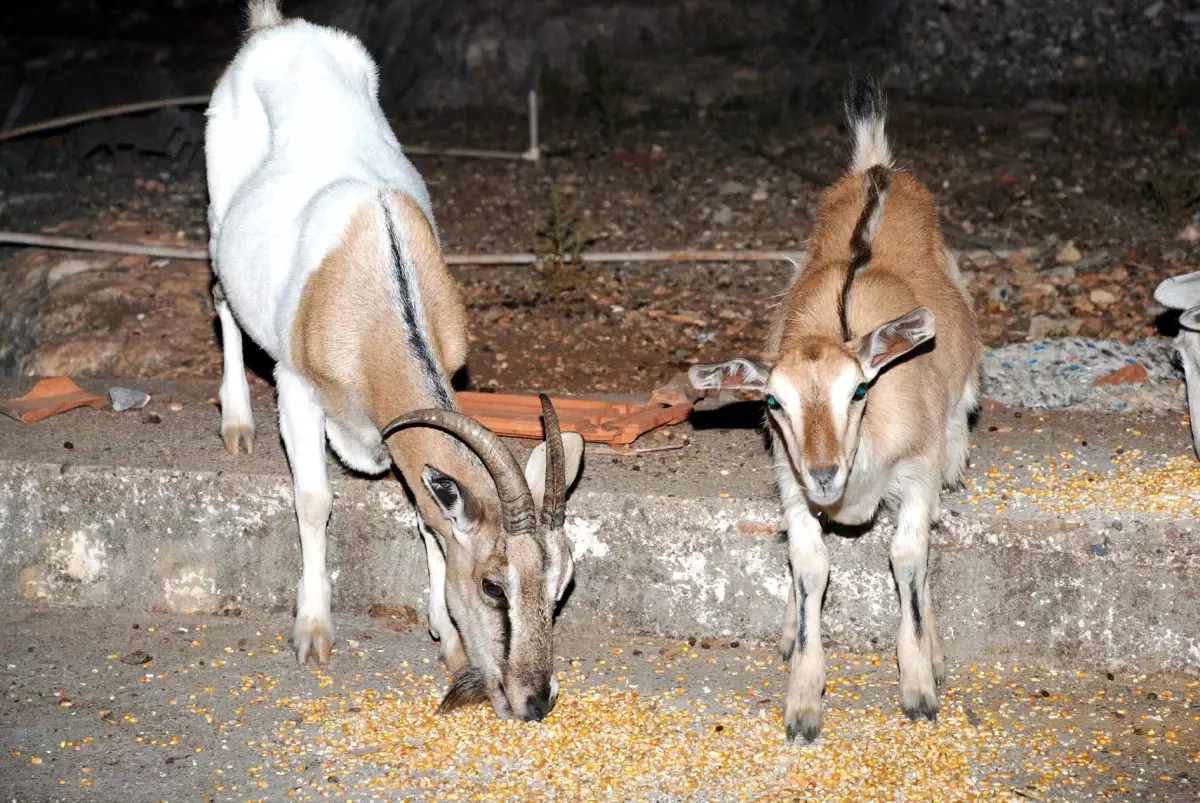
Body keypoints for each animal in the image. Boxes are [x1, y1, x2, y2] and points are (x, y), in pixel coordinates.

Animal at [204, 0, 583, 720]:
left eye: (561, 584)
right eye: (494, 586)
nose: (534, 699)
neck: (377, 285)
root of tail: (277, 28)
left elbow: (430, 519)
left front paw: (449, 642)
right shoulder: (298, 389)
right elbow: (314, 499)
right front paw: (313, 630)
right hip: (215, 214)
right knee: (219, 294)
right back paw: (236, 423)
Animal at [691, 75, 979, 739]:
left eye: (860, 391)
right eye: (773, 400)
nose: (825, 472)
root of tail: (875, 168)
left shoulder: (916, 473)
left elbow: (908, 557)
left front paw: (920, 688)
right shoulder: (791, 486)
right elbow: (809, 565)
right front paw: (802, 697)